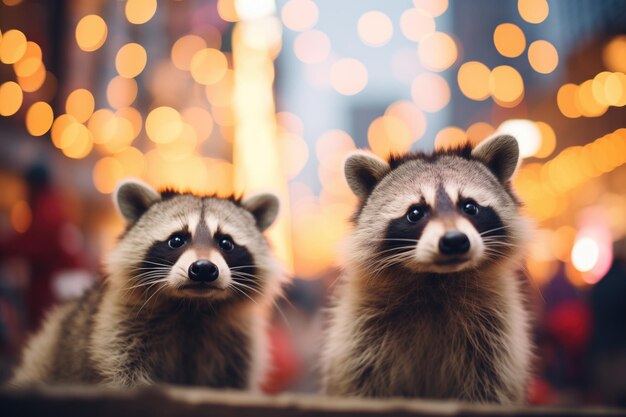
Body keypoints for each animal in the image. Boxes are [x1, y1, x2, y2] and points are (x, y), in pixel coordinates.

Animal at [9, 180, 282, 388]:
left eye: (226, 243)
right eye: (177, 240)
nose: (203, 268)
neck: (193, 306)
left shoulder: (238, 344)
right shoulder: (117, 327)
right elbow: (121, 373)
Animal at [322, 135, 532, 402]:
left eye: (470, 207)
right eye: (415, 213)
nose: (454, 241)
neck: (436, 279)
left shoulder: (495, 333)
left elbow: (493, 385)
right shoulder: (359, 333)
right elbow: (357, 379)